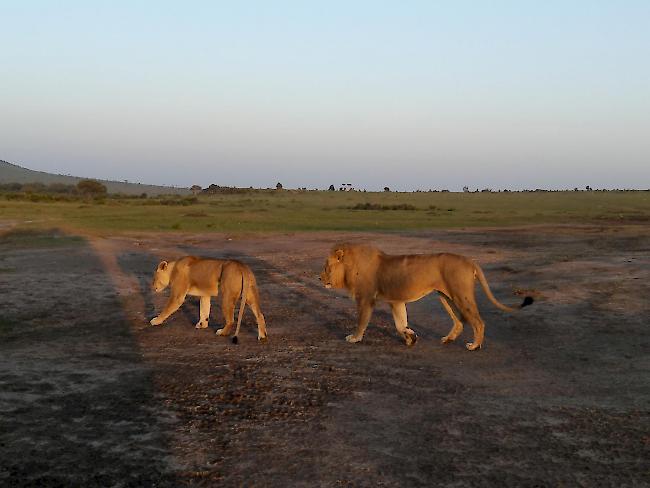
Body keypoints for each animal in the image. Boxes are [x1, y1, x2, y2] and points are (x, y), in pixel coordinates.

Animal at [318, 246, 532, 348]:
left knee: (478, 321)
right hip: (445, 296)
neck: (351, 267)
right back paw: (448, 339)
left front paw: (354, 338)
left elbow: (361, 322)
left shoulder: (365, 299)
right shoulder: (396, 301)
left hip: (460, 294)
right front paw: (410, 337)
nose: (318, 278)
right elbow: (400, 323)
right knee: (460, 321)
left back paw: (474, 345)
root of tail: (470, 261)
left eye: (326, 267)